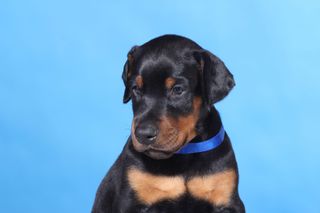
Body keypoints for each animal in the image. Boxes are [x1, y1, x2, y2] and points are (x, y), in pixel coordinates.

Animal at [92, 34, 245, 212]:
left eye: (178, 89)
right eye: (136, 88)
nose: (143, 134)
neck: (184, 154)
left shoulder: (227, 200)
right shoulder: (130, 202)